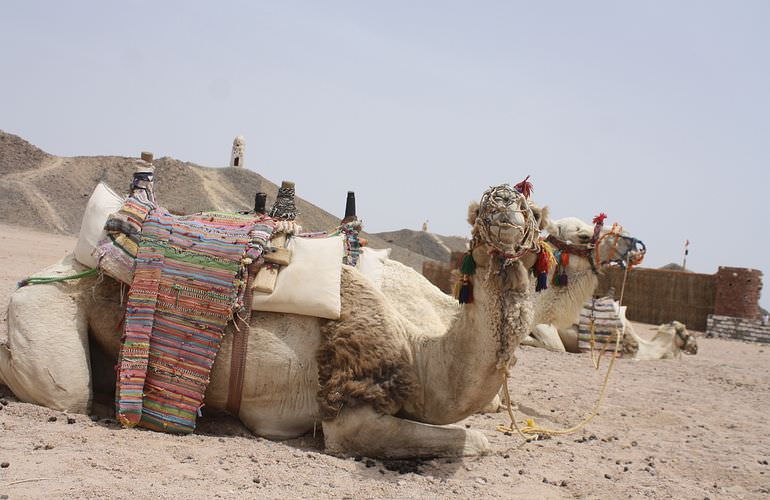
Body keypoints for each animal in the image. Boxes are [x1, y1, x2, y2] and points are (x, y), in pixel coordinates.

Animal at [1, 183, 540, 458]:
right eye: (487, 204)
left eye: (529, 205)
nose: (505, 209)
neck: (420, 350)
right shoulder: (349, 415)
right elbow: (477, 440)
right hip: (46, 308)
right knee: (63, 389)